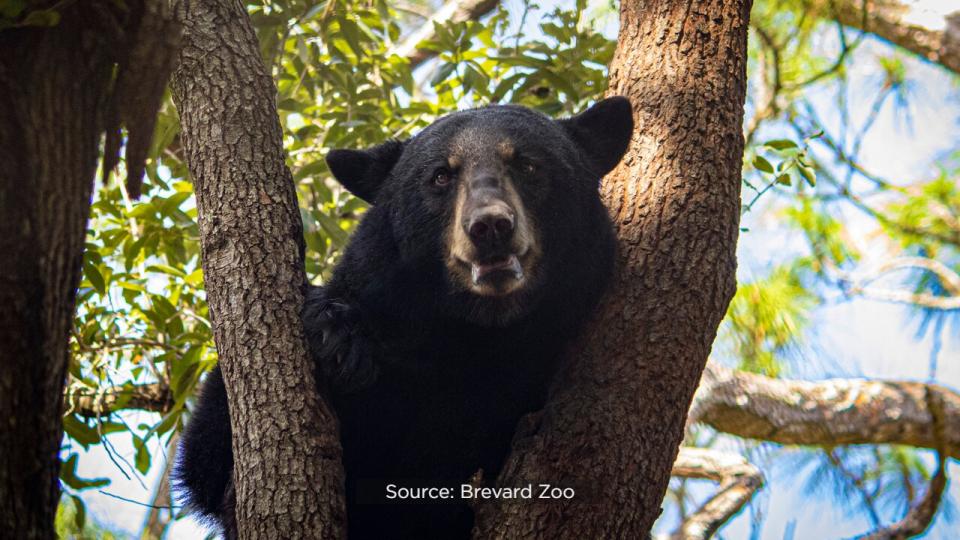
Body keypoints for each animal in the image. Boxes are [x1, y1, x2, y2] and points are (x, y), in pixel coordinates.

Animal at [176, 95, 632, 536]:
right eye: (441, 176)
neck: (475, 330)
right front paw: (337, 337)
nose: (490, 226)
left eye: (527, 164)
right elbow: (205, 460)